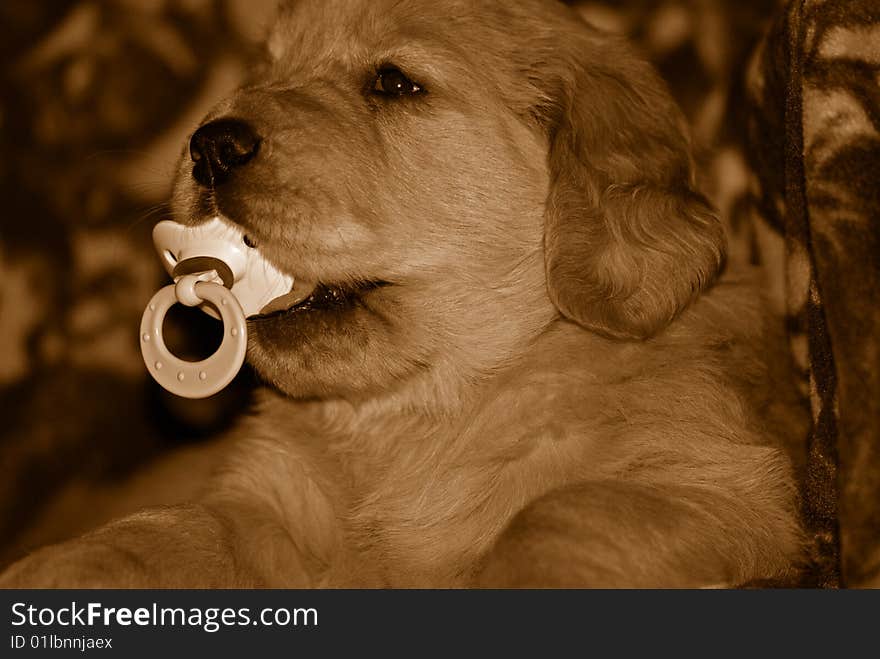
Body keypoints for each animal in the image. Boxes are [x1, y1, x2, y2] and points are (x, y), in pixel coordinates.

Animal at [0, 0, 804, 588]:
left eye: (394, 82)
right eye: (264, 70)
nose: (210, 145)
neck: (411, 418)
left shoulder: (726, 489)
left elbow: (563, 511)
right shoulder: (266, 499)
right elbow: (180, 525)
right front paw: (65, 565)